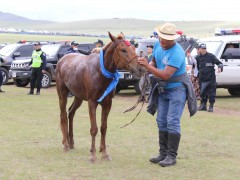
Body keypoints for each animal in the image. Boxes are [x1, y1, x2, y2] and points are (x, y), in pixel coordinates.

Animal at [55, 31, 146, 162]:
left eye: (134, 48)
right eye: (123, 50)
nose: (141, 68)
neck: (100, 71)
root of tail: (62, 60)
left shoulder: (107, 103)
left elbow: (104, 127)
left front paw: (104, 153)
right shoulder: (92, 102)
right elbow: (94, 129)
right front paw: (92, 154)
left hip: (78, 96)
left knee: (71, 113)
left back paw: (71, 141)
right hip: (62, 93)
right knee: (63, 115)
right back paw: (65, 144)